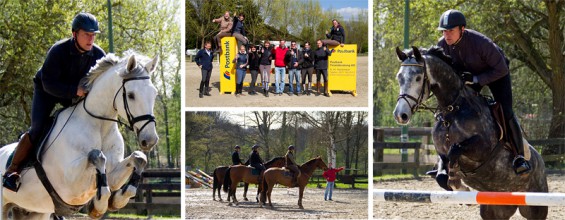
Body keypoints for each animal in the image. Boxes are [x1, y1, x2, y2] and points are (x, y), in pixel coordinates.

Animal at [0, 52, 159, 218]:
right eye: (131, 95)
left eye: (155, 94)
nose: (150, 140)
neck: (100, 126)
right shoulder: (70, 183)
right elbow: (97, 156)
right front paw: (99, 205)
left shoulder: (111, 174)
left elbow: (139, 158)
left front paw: (116, 200)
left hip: (34, 211)